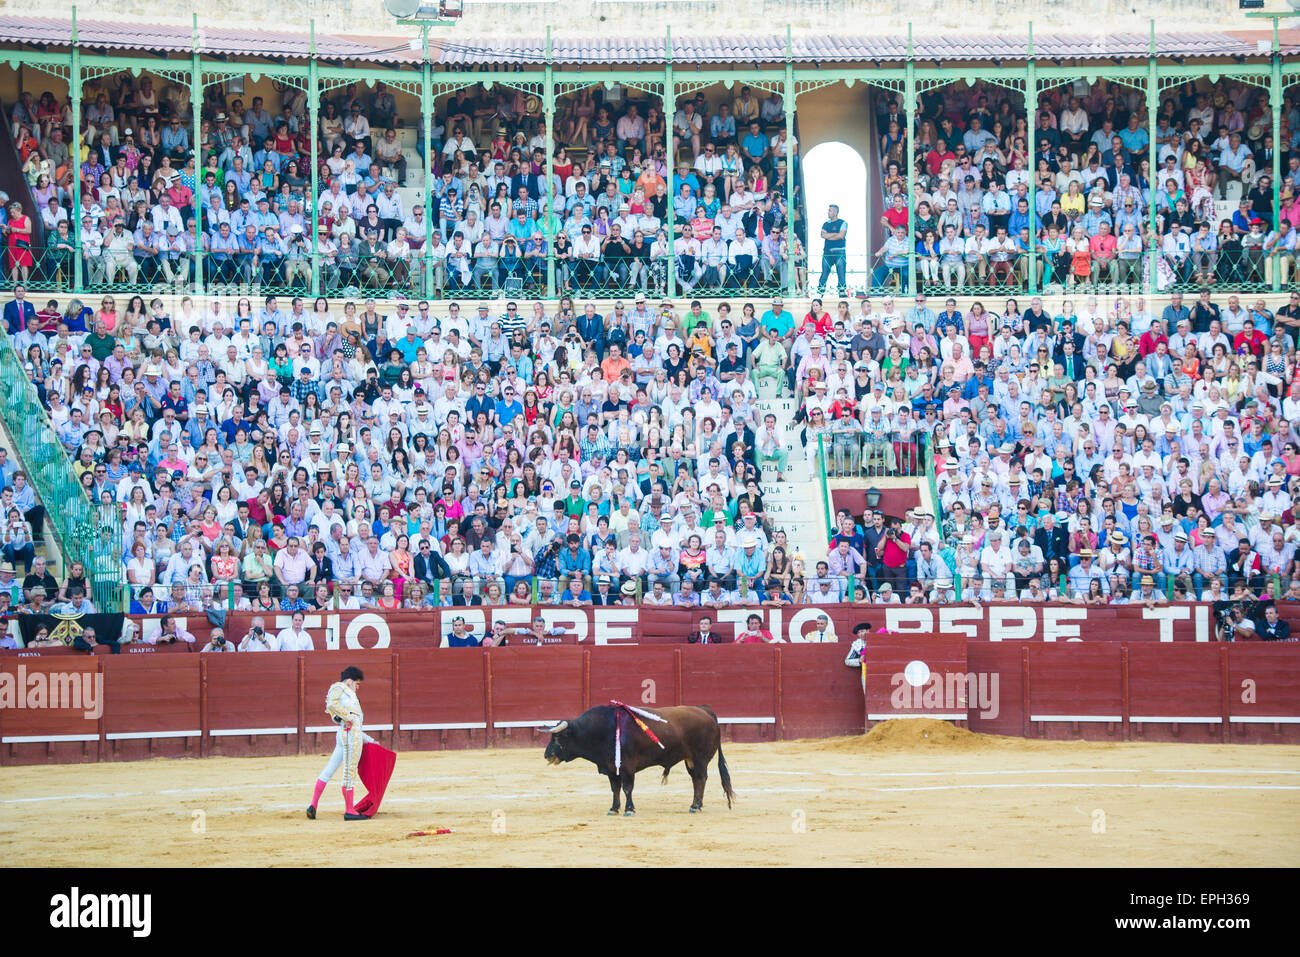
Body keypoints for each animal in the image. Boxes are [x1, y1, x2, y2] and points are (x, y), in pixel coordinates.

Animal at [543, 702, 738, 816]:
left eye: (558, 737)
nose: (546, 755)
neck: (602, 730)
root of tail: (705, 710)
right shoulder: (611, 769)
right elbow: (615, 789)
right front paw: (614, 809)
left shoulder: (627, 767)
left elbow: (627, 788)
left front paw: (629, 809)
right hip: (690, 759)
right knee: (697, 779)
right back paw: (696, 805)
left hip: (700, 758)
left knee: (701, 778)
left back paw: (695, 806)